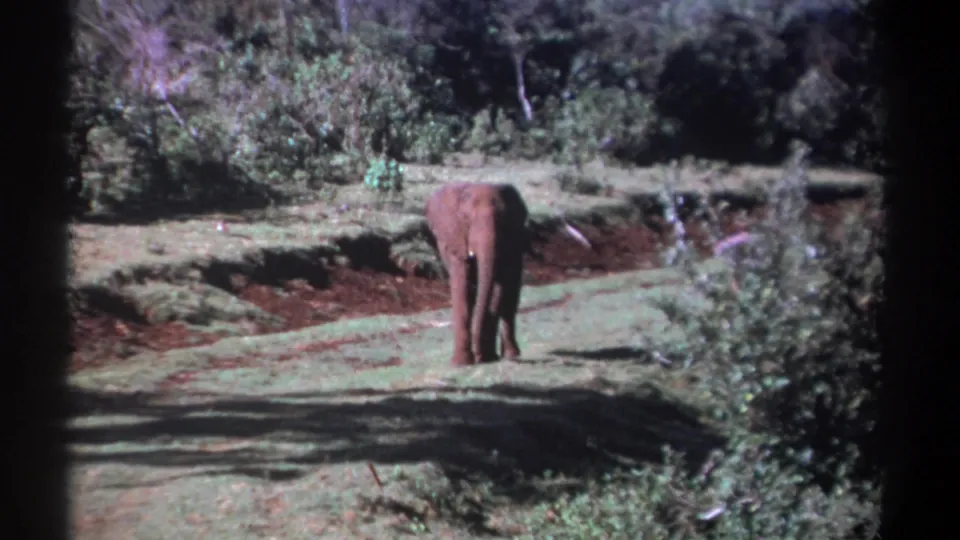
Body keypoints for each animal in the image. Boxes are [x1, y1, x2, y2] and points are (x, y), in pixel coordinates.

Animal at [424, 182, 529, 367]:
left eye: (502, 219)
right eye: (466, 219)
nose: (479, 355)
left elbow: (498, 289)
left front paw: (485, 357)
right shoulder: (456, 240)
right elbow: (463, 288)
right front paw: (462, 363)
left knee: (510, 298)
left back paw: (511, 355)